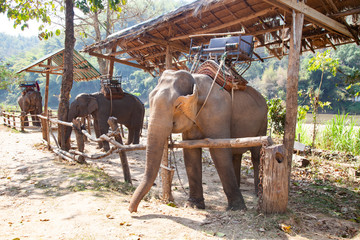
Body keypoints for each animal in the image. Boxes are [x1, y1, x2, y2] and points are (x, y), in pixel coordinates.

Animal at [129, 69, 268, 212]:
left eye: (177, 106)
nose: (132, 210)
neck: (195, 81)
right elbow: (191, 151)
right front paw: (194, 205)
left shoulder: (217, 113)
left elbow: (219, 151)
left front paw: (237, 208)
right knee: (236, 154)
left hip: (263, 122)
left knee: (256, 154)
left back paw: (257, 193)